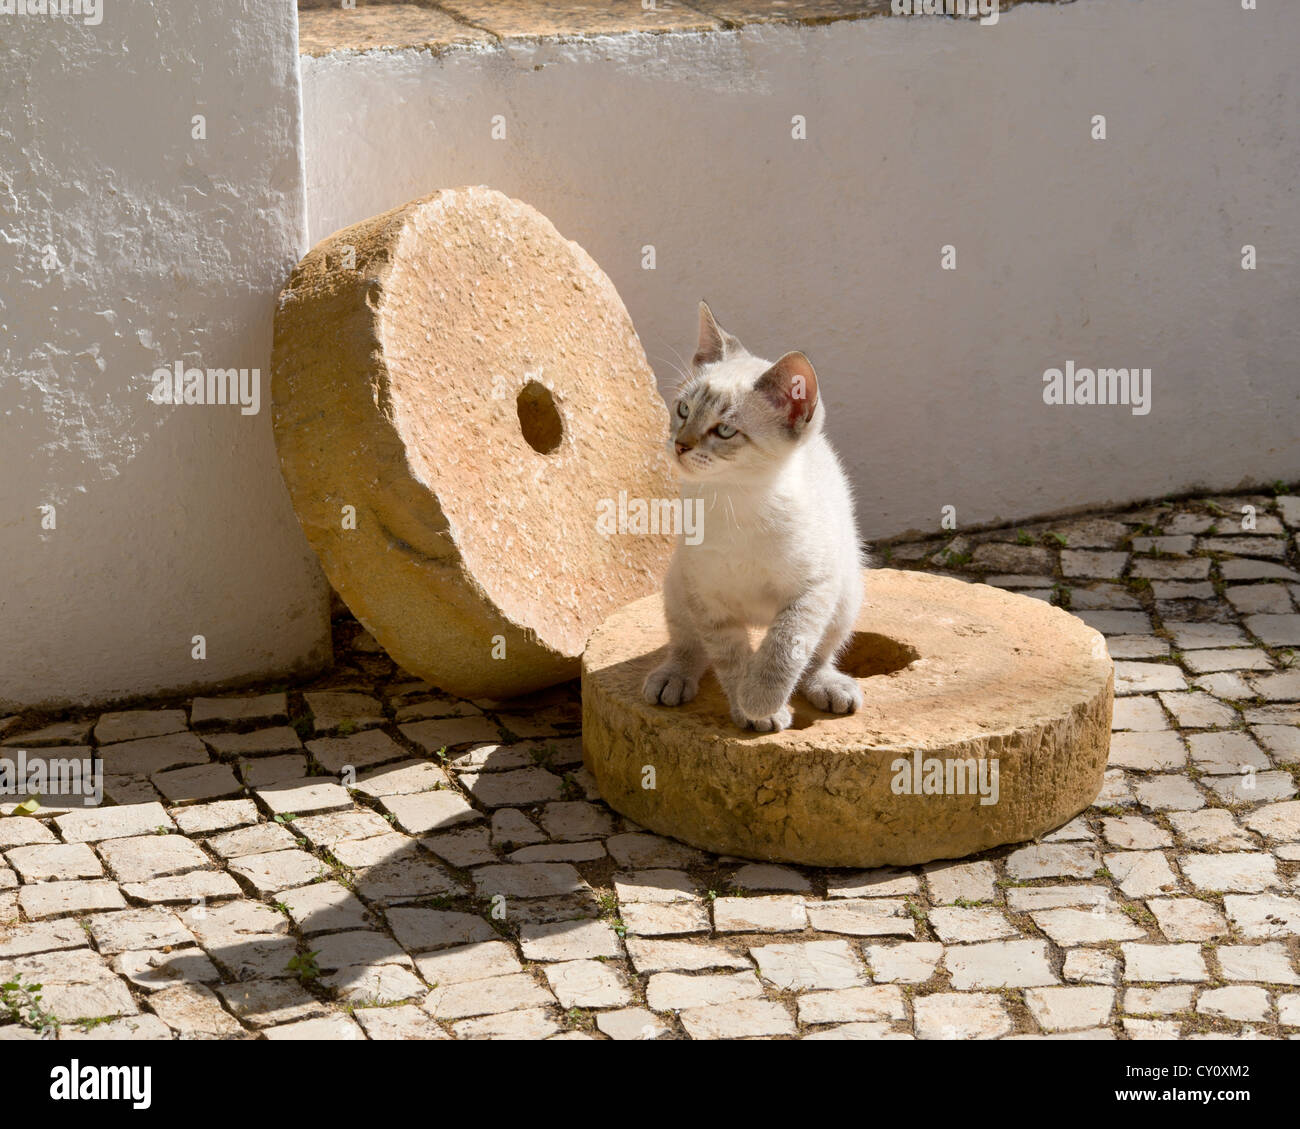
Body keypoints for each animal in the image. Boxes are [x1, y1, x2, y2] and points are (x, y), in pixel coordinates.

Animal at [639, 300, 863, 733]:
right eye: (683, 409)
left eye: (725, 430)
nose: (680, 444)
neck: (735, 501)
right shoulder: (707, 598)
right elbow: (732, 657)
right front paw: (754, 710)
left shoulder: (813, 589)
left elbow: (785, 646)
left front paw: (761, 699)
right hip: (676, 584)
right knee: (686, 644)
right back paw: (672, 677)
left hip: (846, 594)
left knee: (819, 653)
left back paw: (829, 685)